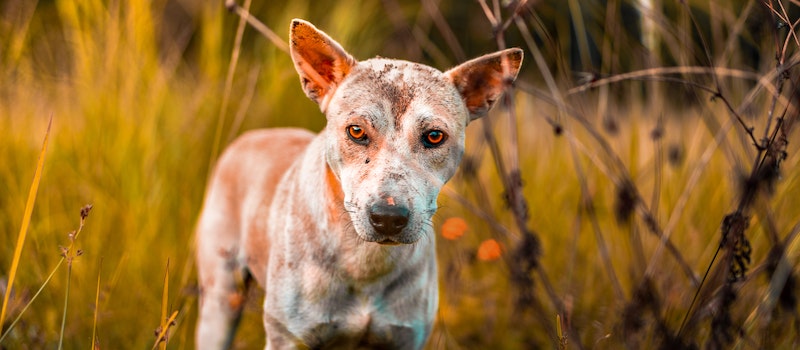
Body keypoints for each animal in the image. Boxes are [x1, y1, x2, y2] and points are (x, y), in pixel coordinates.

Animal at [196, 19, 520, 350]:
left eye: (434, 136)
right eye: (356, 131)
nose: (388, 217)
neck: (365, 260)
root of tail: (254, 136)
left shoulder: (405, 337)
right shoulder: (288, 339)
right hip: (220, 301)